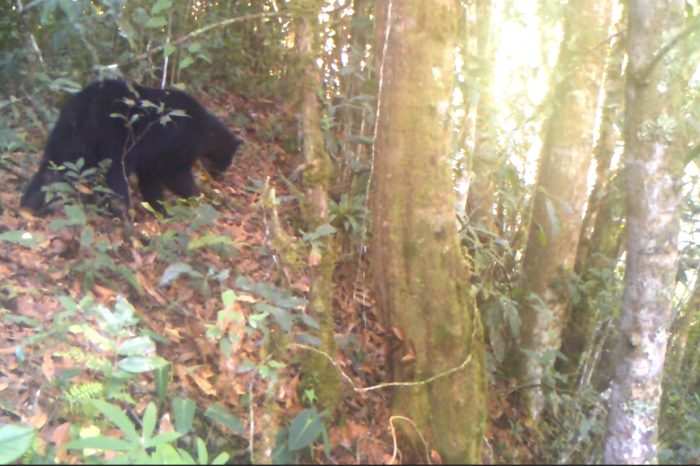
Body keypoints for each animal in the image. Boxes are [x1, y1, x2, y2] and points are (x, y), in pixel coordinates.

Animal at [20, 79, 242, 215]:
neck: (204, 131)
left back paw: (30, 203)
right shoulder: (176, 149)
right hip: (116, 139)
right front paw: (194, 198)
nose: (222, 175)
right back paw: (121, 211)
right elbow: (176, 177)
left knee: (50, 166)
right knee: (117, 175)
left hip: (65, 134)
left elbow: (151, 181)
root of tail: (86, 102)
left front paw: (159, 208)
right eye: (229, 160)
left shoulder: (153, 158)